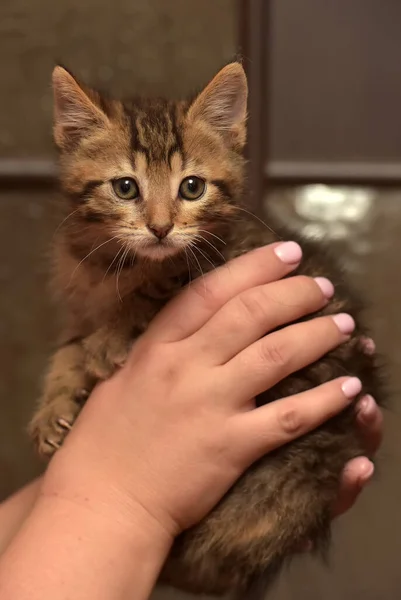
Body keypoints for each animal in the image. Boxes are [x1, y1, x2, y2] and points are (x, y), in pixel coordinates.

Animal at [28, 62, 384, 596]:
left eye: (192, 187)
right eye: (125, 187)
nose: (160, 229)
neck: (115, 266)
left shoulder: (217, 261)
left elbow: (153, 292)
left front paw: (110, 338)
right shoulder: (80, 302)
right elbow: (68, 348)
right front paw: (54, 405)